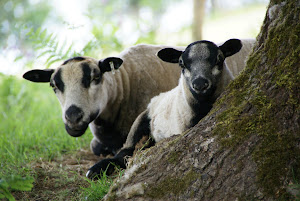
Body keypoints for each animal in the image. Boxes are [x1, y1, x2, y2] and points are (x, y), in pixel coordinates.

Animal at [85, 38, 244, 179]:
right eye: (181, 64)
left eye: (219, 59)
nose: (199, 84)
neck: (202, 107)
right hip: (141, 120)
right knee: (125, 152)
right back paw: (96, 170)